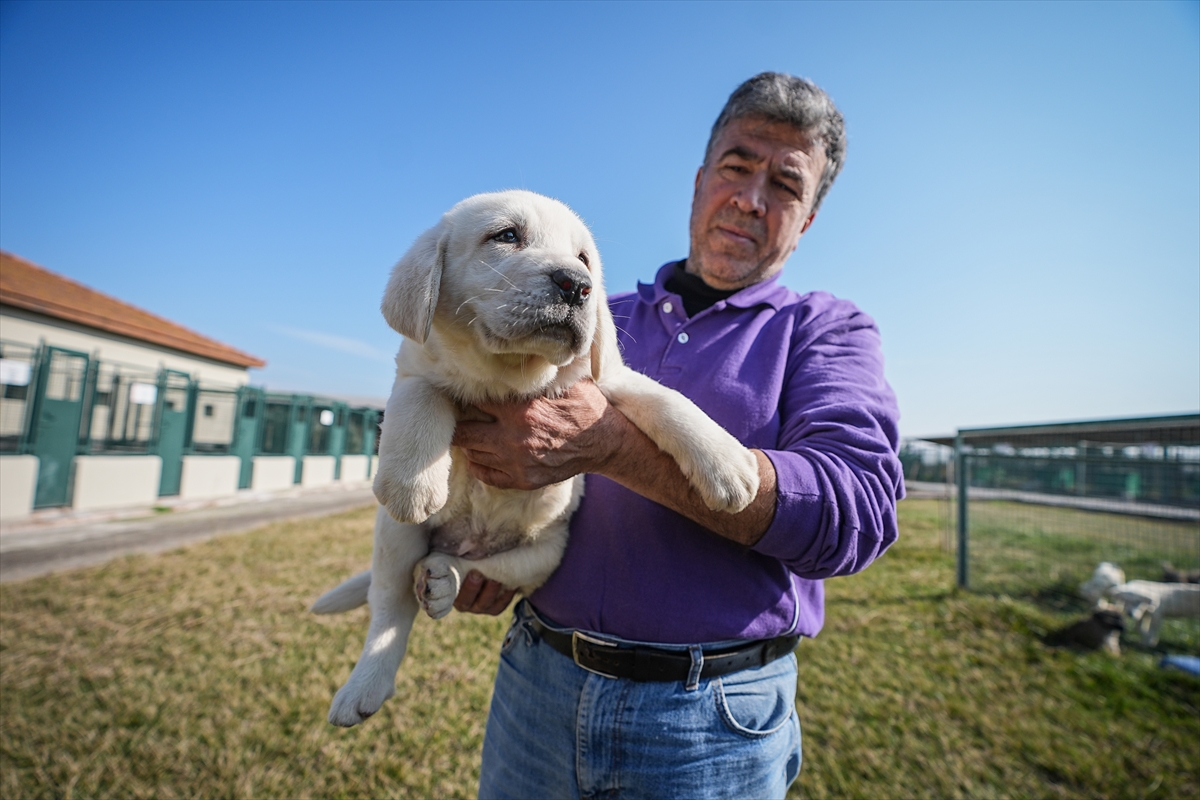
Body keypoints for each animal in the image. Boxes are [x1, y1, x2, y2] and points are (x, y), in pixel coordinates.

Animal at [312, 190, 758, 729]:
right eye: (506, 236)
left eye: (584, 258)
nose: (577, 285)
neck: (509, 376)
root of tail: (466, 543)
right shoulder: (416, 364)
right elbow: (421, 395)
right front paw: (411, 483)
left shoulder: (607, 381)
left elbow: (668, 401)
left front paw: (728, 464)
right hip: (395, 542)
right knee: (390, 610)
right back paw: (366, 683)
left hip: (546, 554)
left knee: (486, 570)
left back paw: (446, 577)